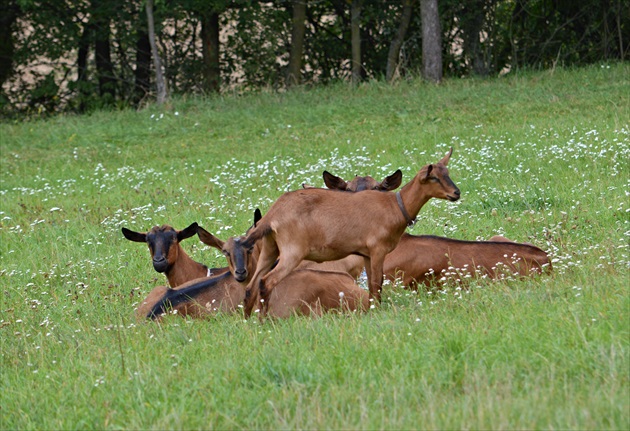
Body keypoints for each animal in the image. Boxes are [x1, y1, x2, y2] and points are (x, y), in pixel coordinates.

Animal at [239, 149, 462, 318]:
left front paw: (371, 309)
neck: (394, 207)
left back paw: (249, 321)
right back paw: (264, 320)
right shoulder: (378, 249)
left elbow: (372, 285)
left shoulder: (366, 253)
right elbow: (377, 283)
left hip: (270, 247)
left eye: (448, 172)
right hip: (292, 251)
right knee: (266, 282)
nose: (456, 193)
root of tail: (272, 215)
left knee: (251, 285)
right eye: (433, 177)